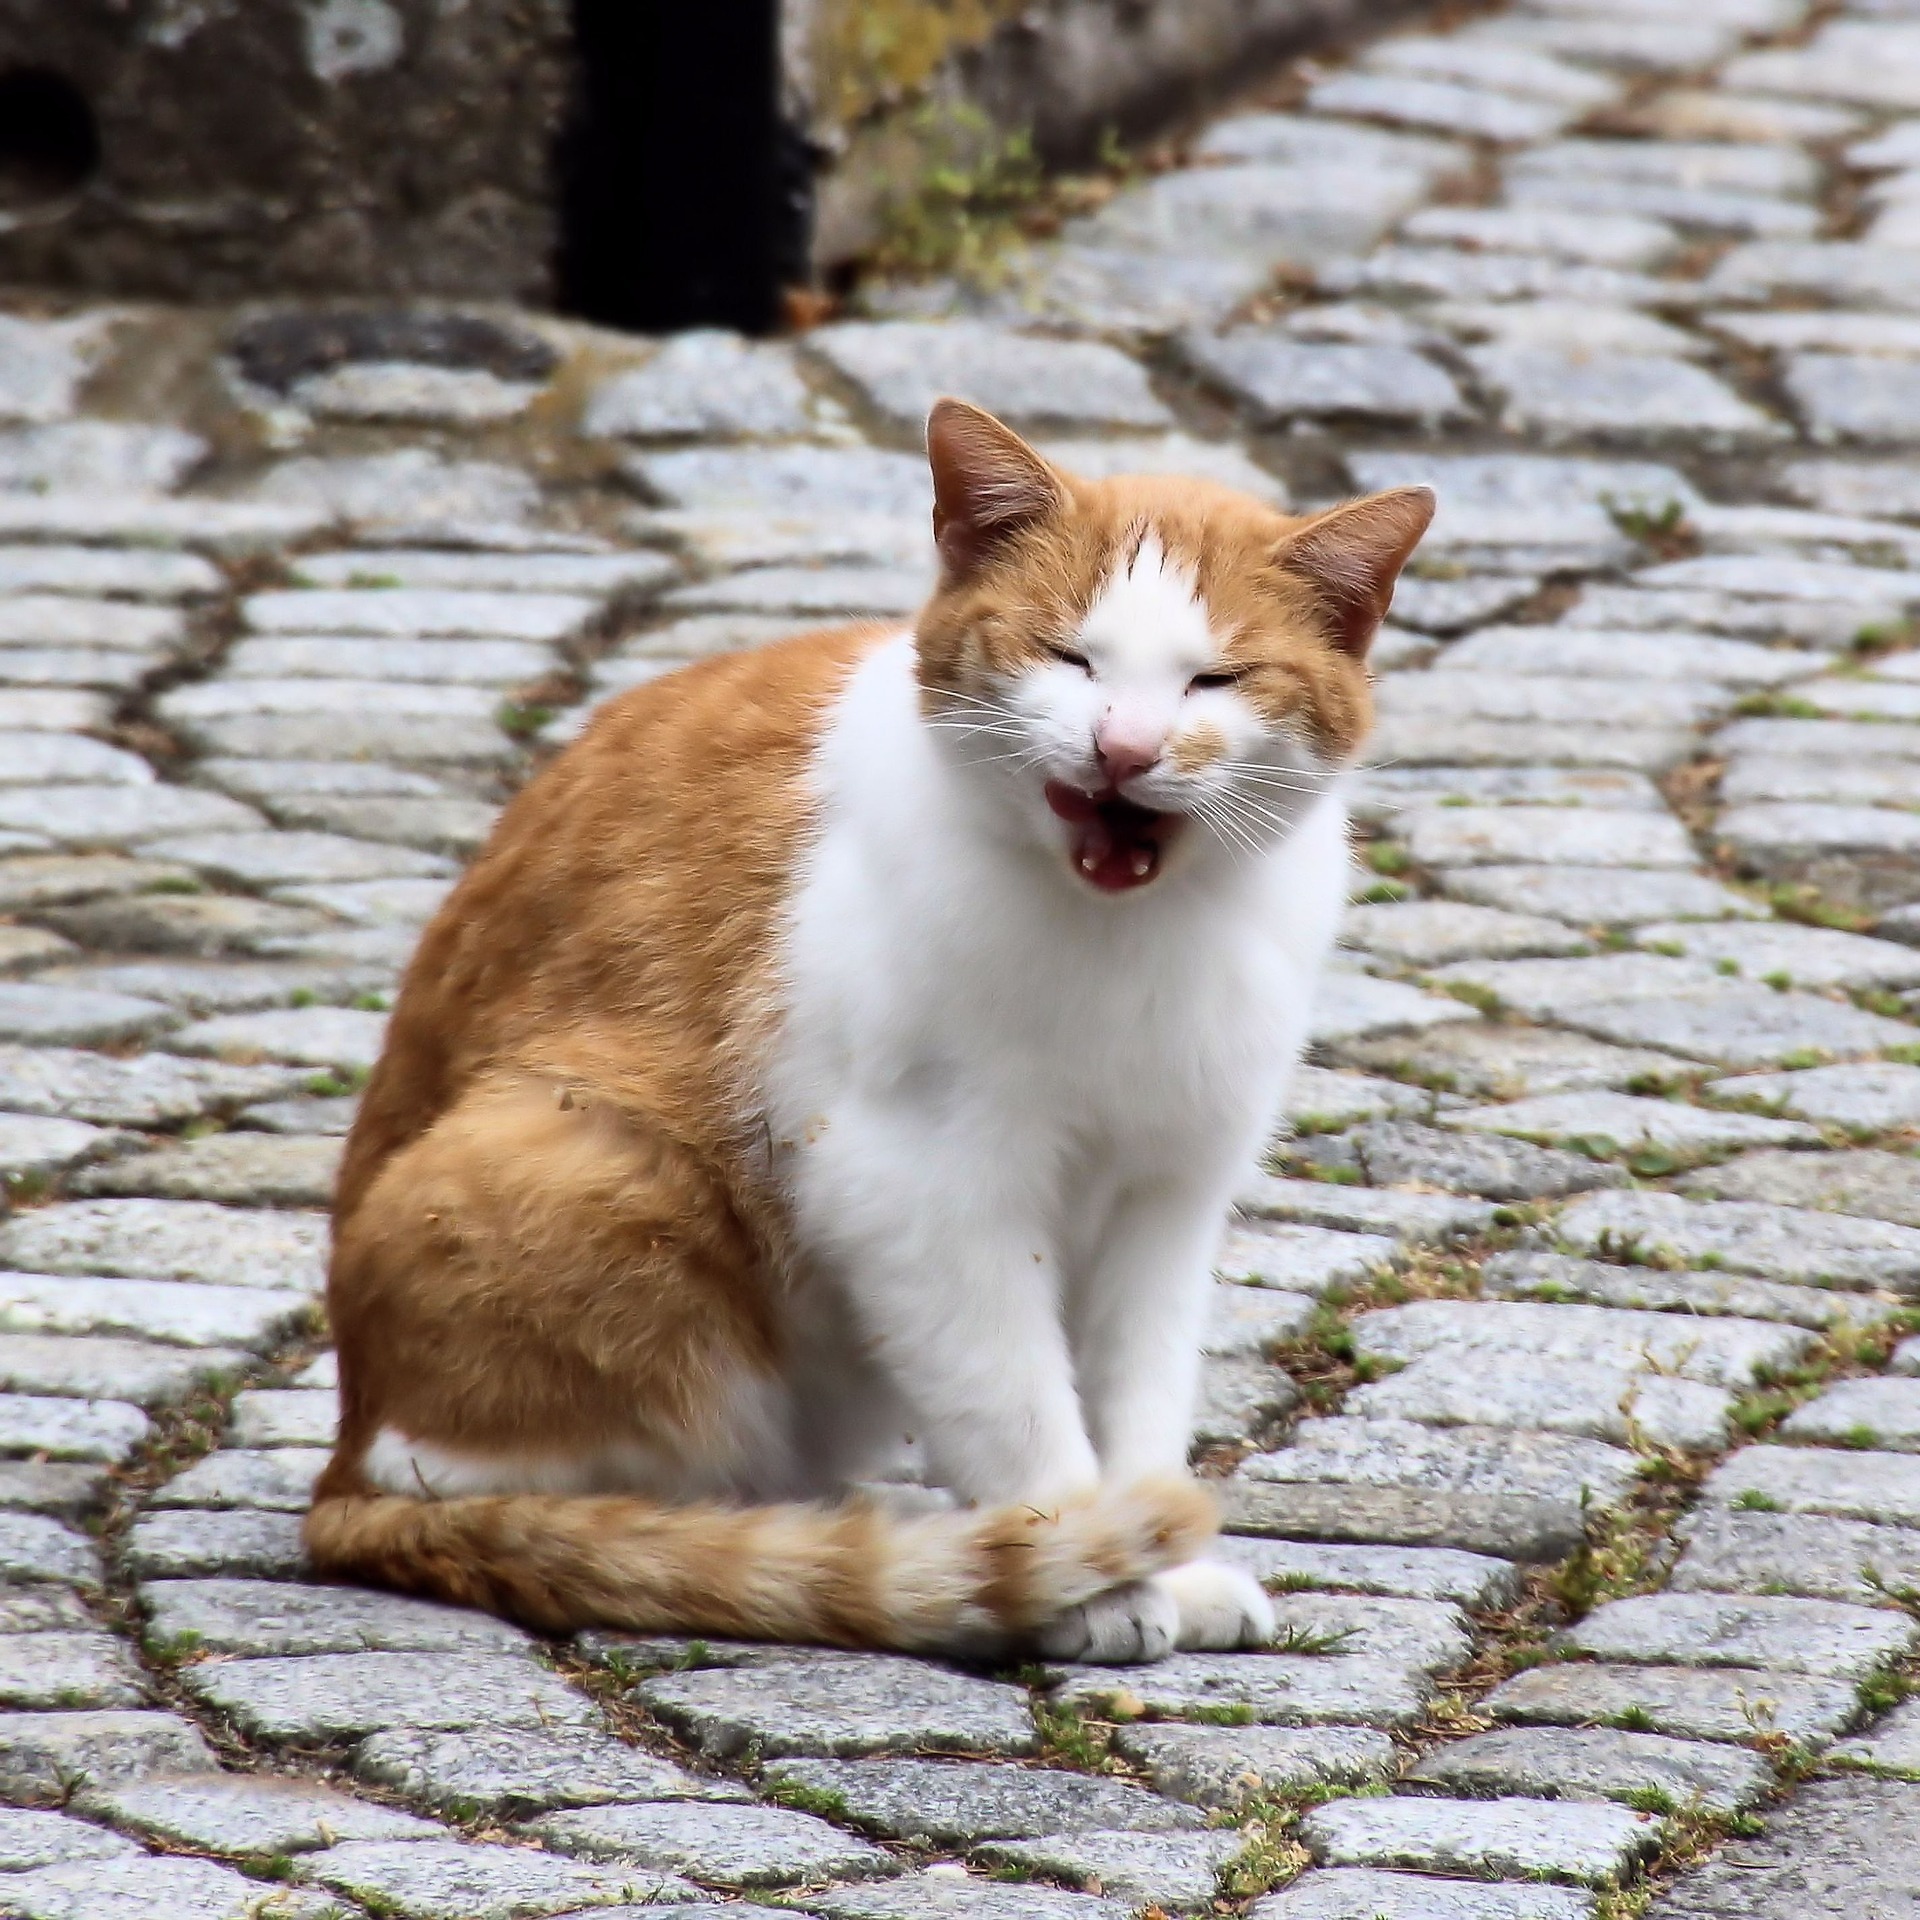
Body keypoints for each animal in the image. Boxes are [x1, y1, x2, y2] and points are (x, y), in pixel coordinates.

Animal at [307, 401, 1436, 1666]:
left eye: (1215, 678)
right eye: (1070, 656)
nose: (1127, 750)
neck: (1124, 937)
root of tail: (340, 1465)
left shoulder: (1170, 1193)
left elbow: (1138, 1397)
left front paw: (1163, 1559)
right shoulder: (919, 1179)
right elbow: (1014, 1394)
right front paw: (1085, 1571)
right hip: (588, 1157)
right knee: (521, 1479)